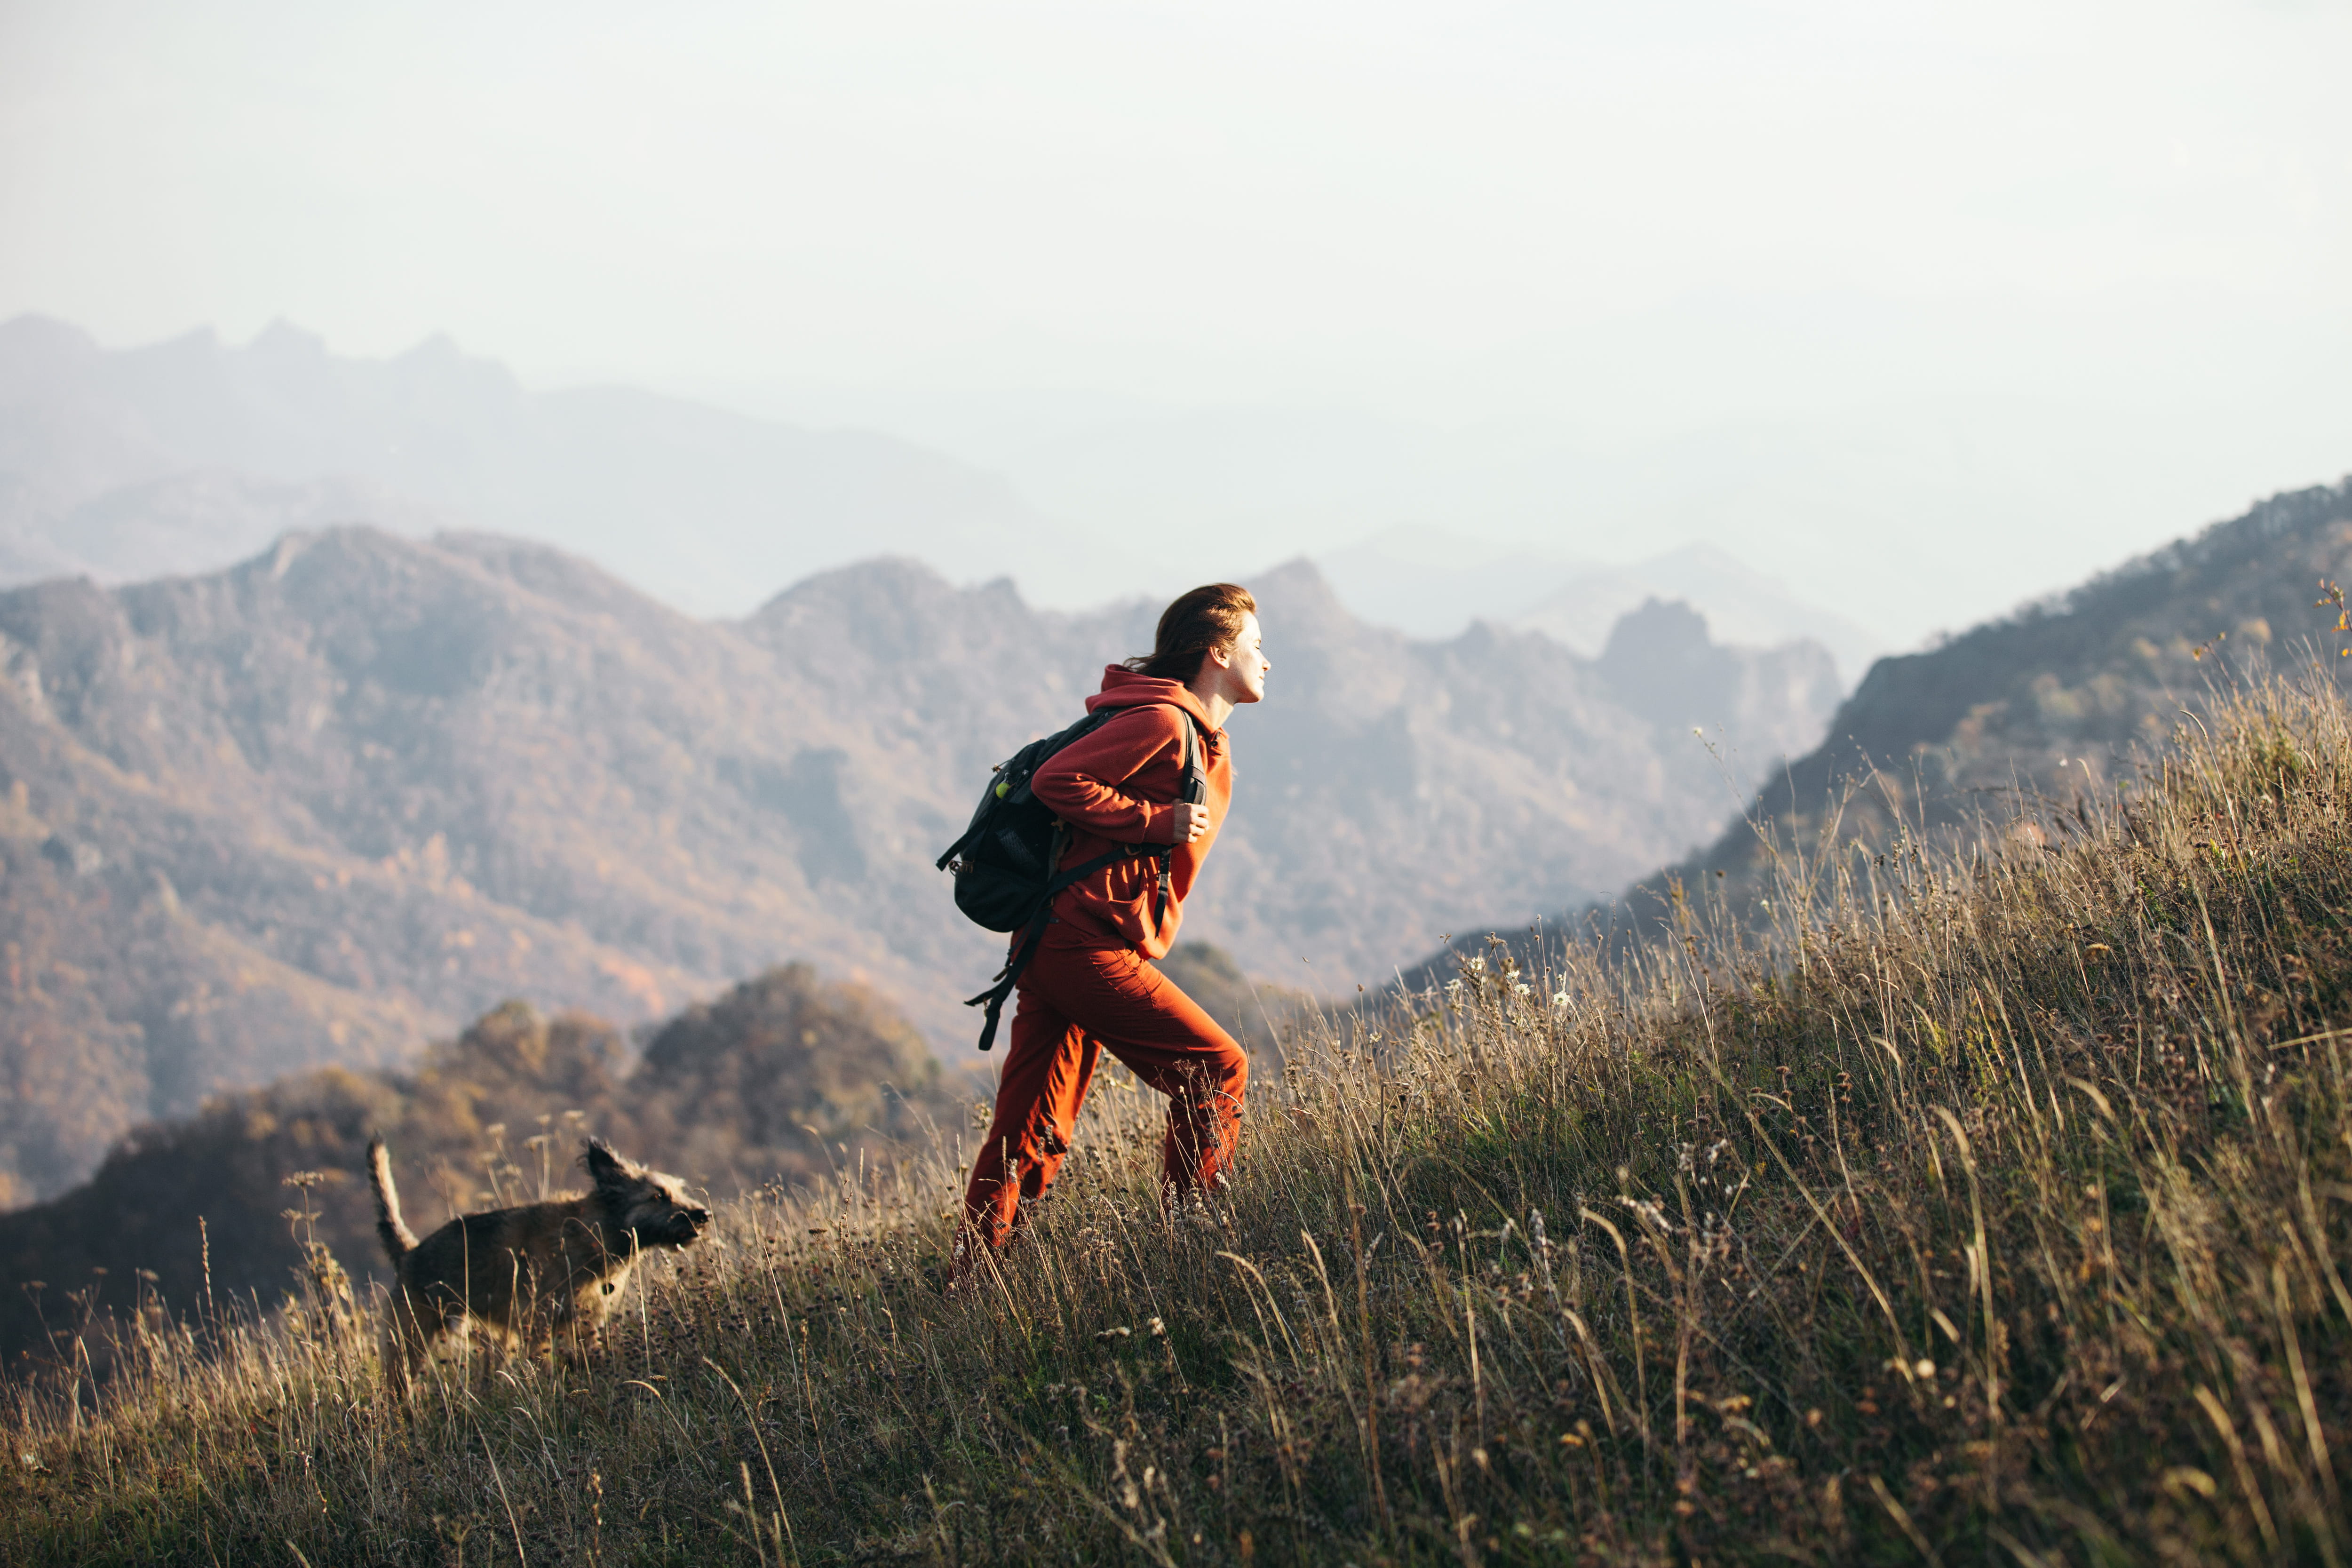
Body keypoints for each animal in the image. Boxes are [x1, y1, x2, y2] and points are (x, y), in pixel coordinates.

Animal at [362, 1142, 710, 1382]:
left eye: (677, 1190)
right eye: (658, 1196)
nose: (704, 1215)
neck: (593, 1233)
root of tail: (409, 1253)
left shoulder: (586, 1327)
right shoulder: (538, 1328)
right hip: (408, 1346)